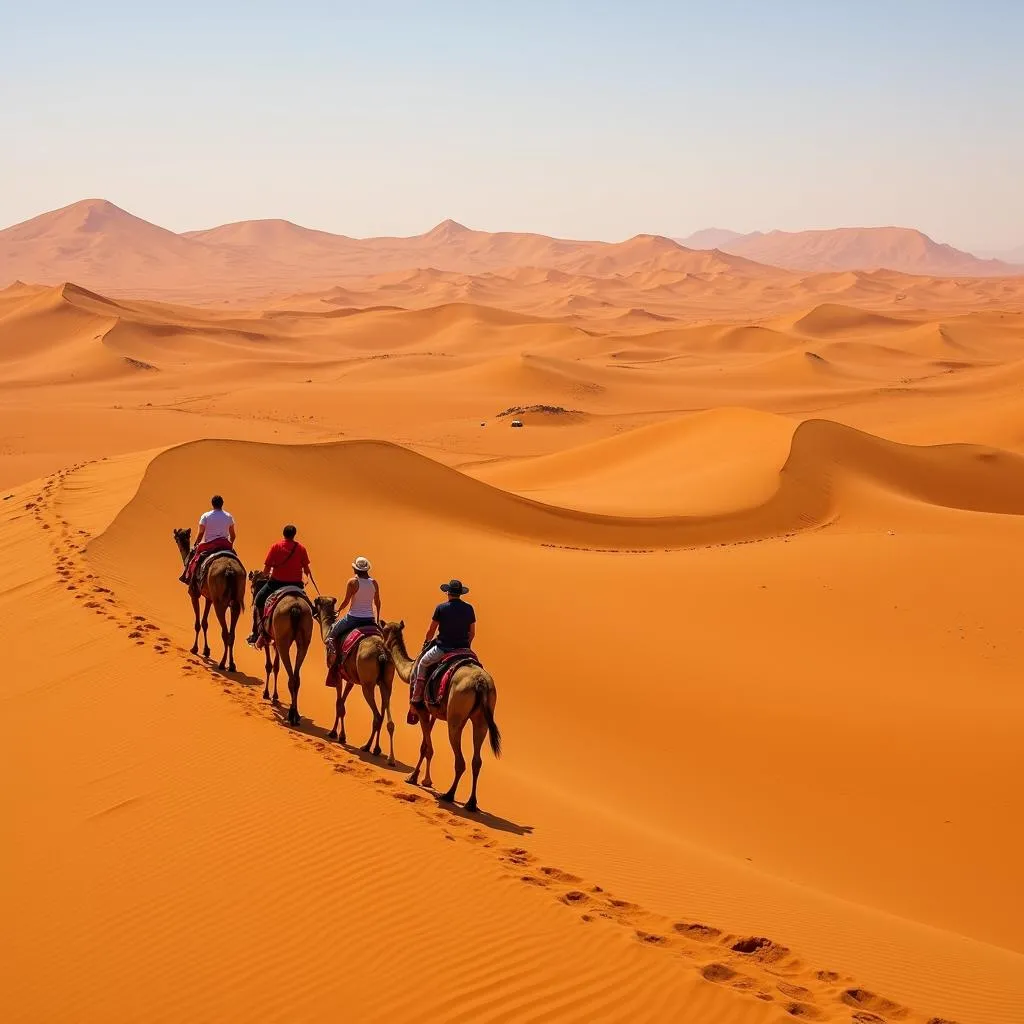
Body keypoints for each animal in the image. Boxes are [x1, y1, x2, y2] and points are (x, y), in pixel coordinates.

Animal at [173, 528, 244, 671]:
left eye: (176, 537)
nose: (179, 539)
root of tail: (230, 570)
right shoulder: (209, 598)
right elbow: (205, 623)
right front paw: (206, 650)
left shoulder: (194, 594)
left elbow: (198, 623)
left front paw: (195, 649)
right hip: (236, 601)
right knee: (232, 633)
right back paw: (232, 665)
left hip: (219, 602)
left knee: (225, 632)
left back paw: (222, 664)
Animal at [246, 569, 311, 729]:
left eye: (253, 586)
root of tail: (296, 608)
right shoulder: (275, 640)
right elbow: (276, 666)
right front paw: (274, 696)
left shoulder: (268, 637)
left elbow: (269, 665)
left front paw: (267, 694)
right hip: (302, 641)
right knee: (296, 677)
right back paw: (296, 715)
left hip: (282, 640)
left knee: (291, 677)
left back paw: (292, 715)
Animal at [311, 598, 395, 765]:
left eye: (317, 603)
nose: (312, 609)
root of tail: (382, 652)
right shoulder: (350, 679)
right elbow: (343, 703)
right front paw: (340, 734)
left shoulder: (337, 674)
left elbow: (339, 704)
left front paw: (335, 734)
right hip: (387, 682)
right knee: (385, 715)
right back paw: (378, 750)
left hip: (367, 684)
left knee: (377, 716)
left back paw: (367, 747)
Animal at [380, 618, 499, 811]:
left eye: (383, 630)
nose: (383, 647)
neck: (411, 668)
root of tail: (480, 683)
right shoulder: (433, 712)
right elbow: (425, 744)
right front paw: (419, 777)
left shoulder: (421, 709)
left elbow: (426, 747)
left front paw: (415, 778)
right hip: (482, 719)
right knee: (477, 761)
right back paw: (471, 803)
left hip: (455, 715)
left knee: (460, 760)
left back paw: (449, 795)